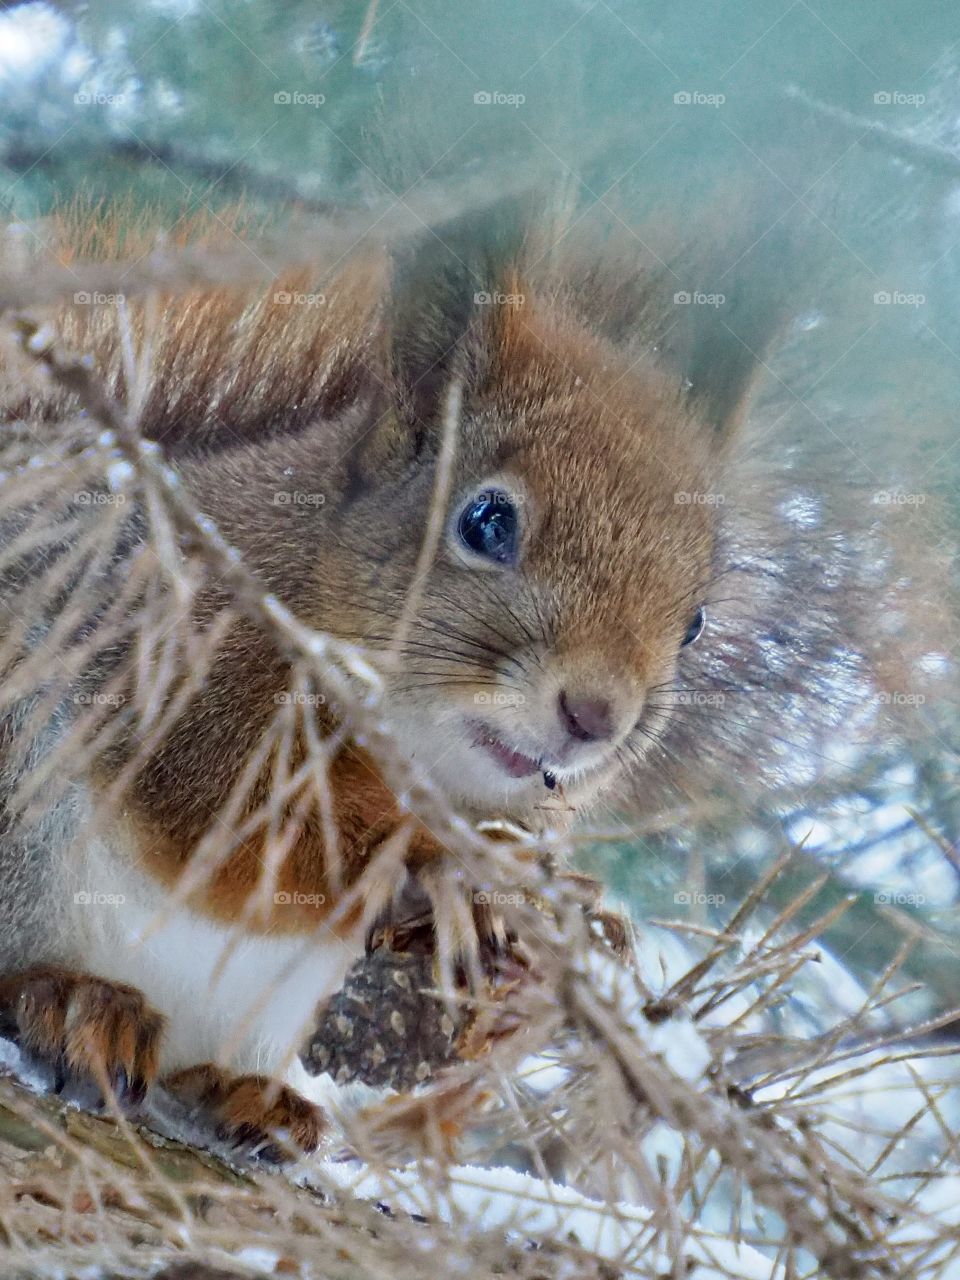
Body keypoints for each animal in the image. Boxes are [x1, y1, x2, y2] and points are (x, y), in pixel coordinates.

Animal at [0, 196, 801, 1158]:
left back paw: (251, 1095)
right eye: (487, 521)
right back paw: (75, 1001)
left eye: (695, 623)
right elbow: (233, 821)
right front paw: (447, 859)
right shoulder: (181, 669)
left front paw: (533, 974)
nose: (594, 715)